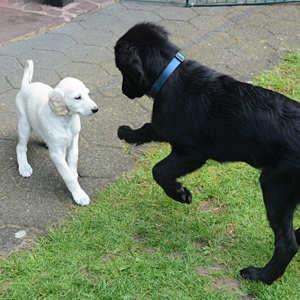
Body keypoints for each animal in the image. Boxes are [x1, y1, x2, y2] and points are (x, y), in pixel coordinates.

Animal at [15, 61, 98, 206]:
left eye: (88, 94)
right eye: (77, 97)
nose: (95, 109)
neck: (66, 120)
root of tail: (26, 86)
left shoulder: (74, 138)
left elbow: (73, 158)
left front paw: (73, 172)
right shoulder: (56, 154)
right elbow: (67, 176)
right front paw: (79, 194)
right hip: (24, 125)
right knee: (20, 147)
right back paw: (24, 166)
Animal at [114, 22, 300, 284]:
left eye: (120, 68)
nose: (123, 91)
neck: (169, 75)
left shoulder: (192, 153)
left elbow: (158, 170)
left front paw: (180, 194)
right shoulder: (166, 128)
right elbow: (148, 128)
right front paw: (128, 133)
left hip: (276, 185)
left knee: (286, 244)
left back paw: (260, 275)